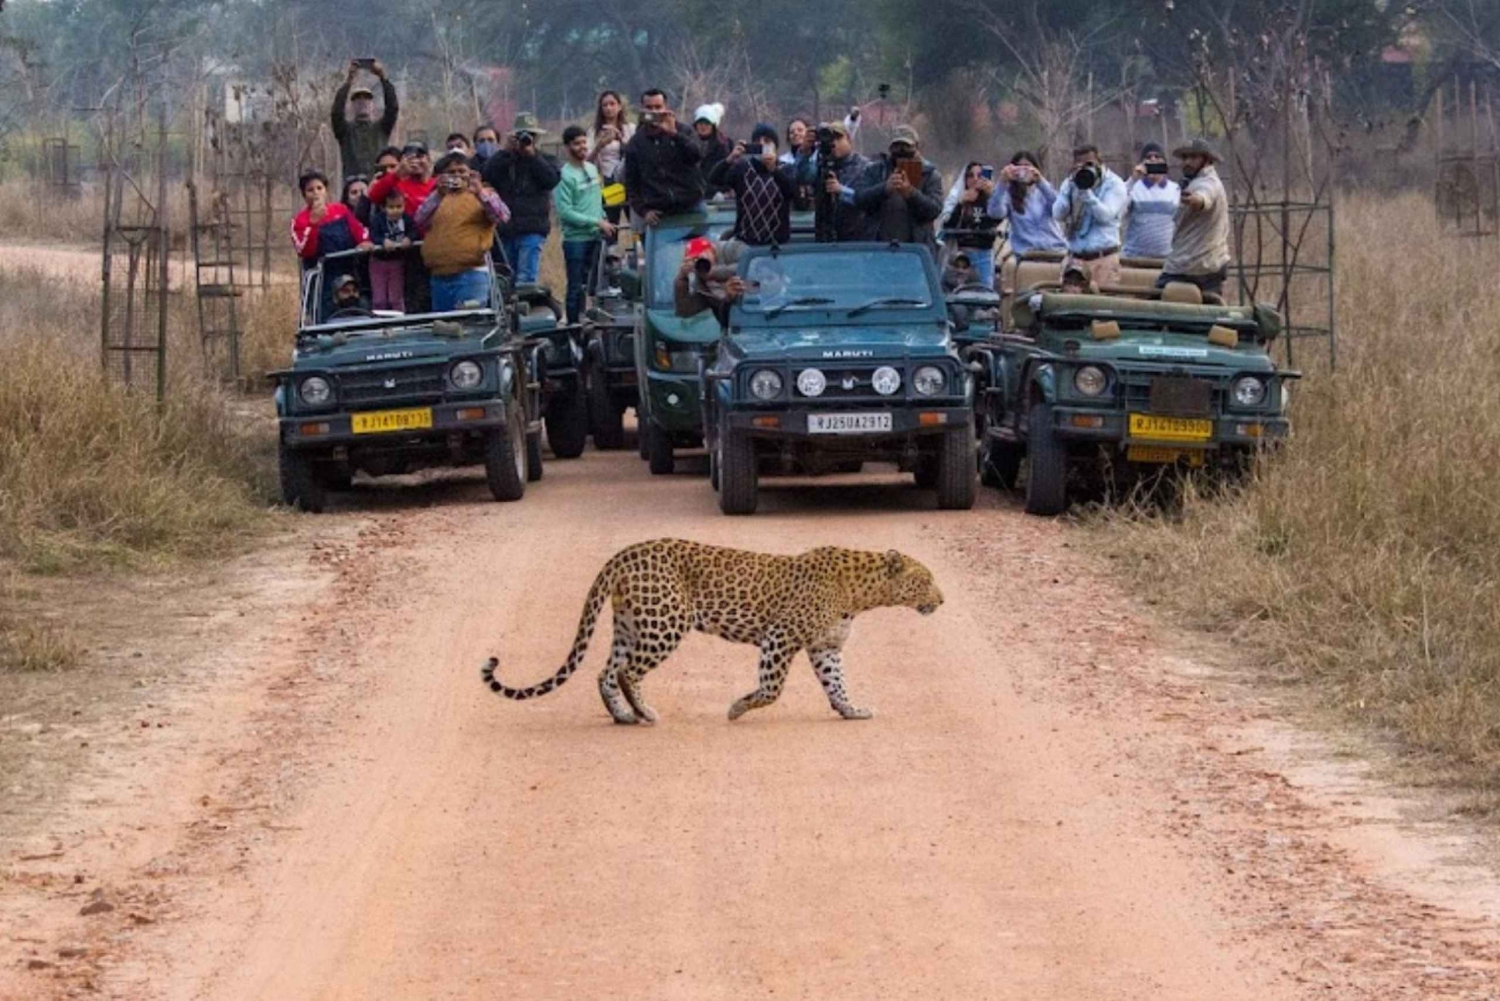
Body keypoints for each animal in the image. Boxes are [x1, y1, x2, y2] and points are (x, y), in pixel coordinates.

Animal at [474, 540, 942, 729]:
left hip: (631, 624)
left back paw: (623, 716)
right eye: (925, 580)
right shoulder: (781, 637)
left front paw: (851, 710)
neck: (864, 592)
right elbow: (771, 688)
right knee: (627, 672)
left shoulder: (825, 647)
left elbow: (837, 684)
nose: (942, 599)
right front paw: (737, 708)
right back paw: (645, 713)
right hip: (665, 623)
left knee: (605, 673)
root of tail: (623, 554)